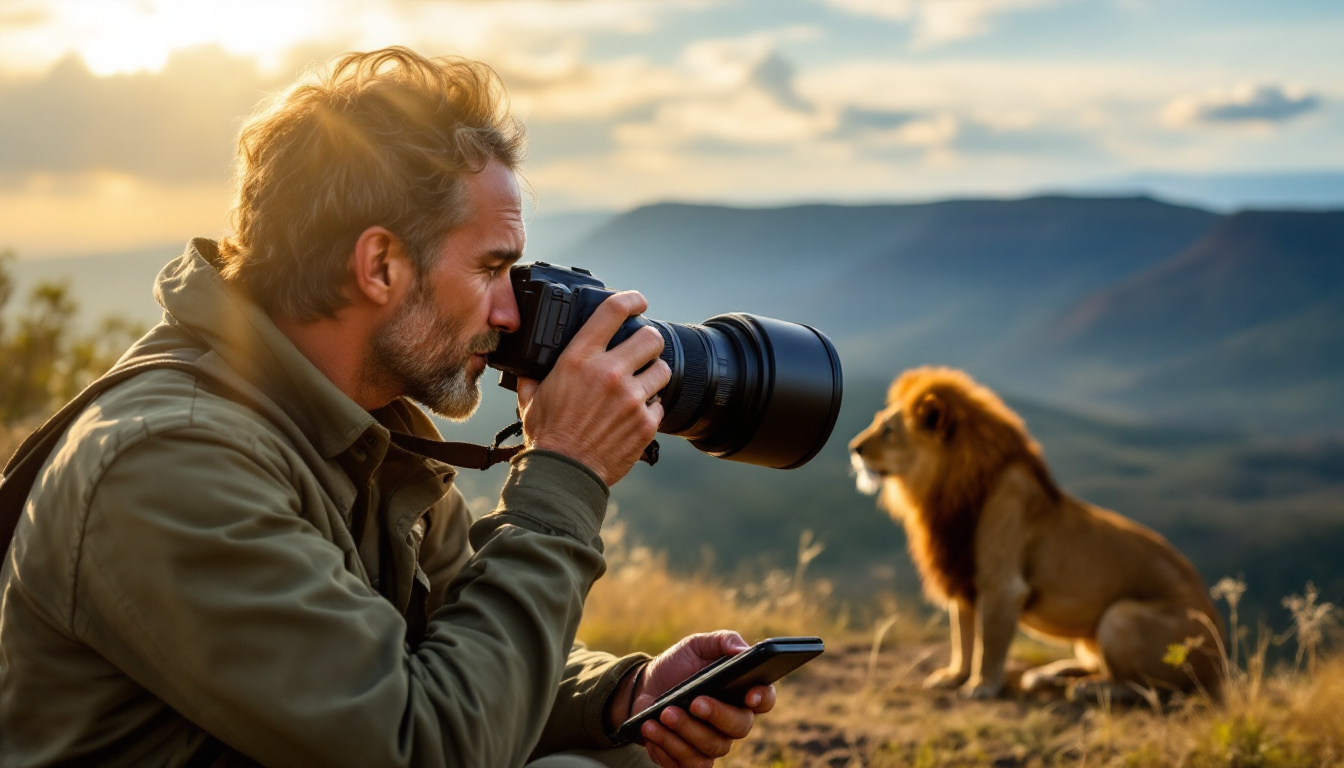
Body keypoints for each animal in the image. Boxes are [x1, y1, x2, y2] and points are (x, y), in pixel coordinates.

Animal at [849, 368, 1231, 704]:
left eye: (888, 430)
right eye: (879, 421)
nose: (854, 448)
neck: (943, 492)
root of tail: (1221, 664)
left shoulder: (1001, 585)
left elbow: (989, 644)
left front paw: (981, 687)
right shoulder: (962, 578)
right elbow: (964, 637)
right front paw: (953, 676)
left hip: (1122, 617)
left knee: (1150, 689)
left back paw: (1088, 689)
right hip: (1091, 637)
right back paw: (1051, 674)